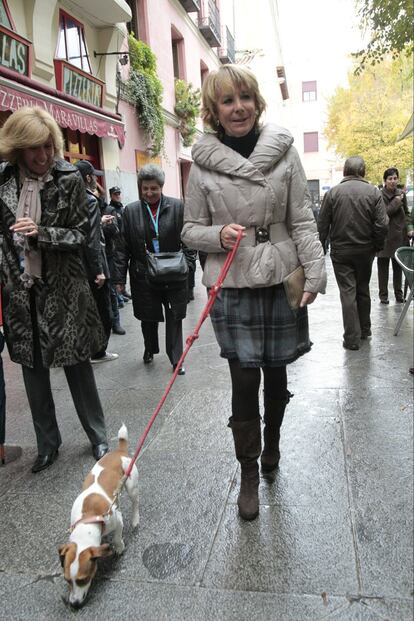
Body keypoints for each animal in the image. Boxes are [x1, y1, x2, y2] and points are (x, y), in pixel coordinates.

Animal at [58, 422, 139, 604]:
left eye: (83, 579)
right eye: (67, 580)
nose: (74, 604)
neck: (88, 517)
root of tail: (119, 451)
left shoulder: (117, 520)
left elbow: (117, 537)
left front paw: (119, 547)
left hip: (131, 486)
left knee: (135, 503)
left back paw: (135, 519)